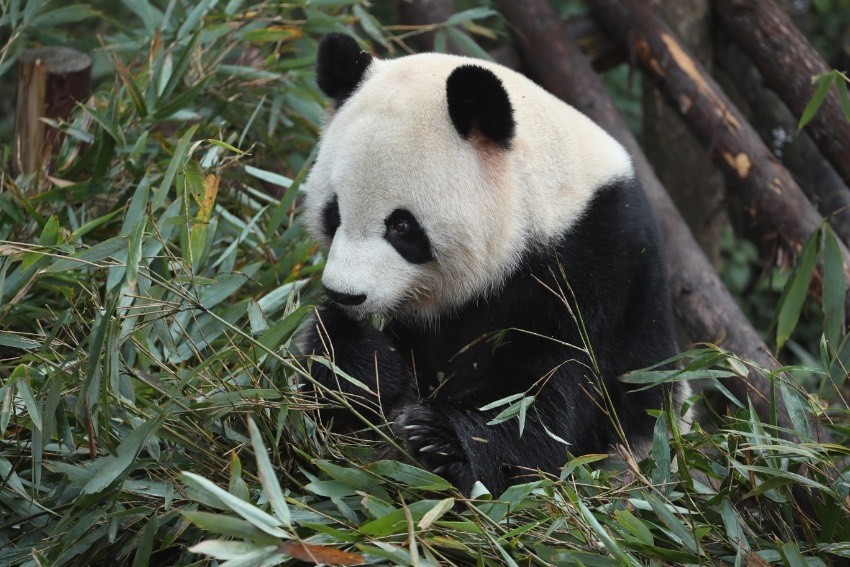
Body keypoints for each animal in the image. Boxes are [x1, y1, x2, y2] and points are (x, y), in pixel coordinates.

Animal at [298, 33, 688, 496]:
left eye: (402, 226)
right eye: (333, 213)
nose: (346, 293)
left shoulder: (595, 269)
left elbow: (542, 400)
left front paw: (442, 442)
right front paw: (360, 368)